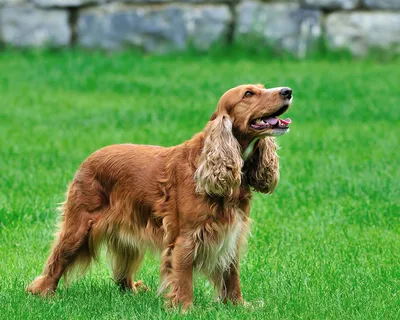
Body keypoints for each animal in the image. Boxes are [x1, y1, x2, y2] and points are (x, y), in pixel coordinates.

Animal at [26, 84, 292, 308]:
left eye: (263, 87)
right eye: (248, 94)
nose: (287, 91)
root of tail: (89, 158)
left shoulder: (231, 232)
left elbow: (231, 273)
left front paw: (237, 305)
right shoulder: (187, 236)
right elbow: (183, 275)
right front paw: (185, 308)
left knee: (122, 273)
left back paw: (133, 290)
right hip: (79, 225)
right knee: (57, 260)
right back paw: (43, 293)